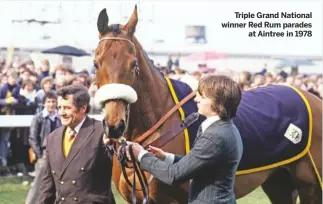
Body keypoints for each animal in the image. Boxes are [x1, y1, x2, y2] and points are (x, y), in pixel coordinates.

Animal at [93, 5, 322, 203]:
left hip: (311, 185)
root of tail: (312, 97)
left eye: (133, 64)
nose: (114, 126)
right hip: (279, 182)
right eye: (96, 63)